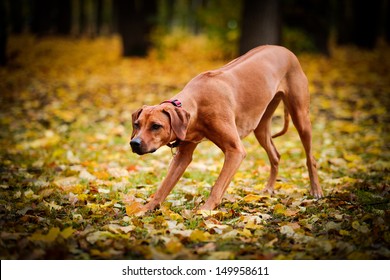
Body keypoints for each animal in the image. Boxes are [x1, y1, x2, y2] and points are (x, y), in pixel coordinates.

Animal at [131, 45, 322, 210]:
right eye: (137, 124)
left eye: (156, 126)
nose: (134, 143)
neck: (197, 104)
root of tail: (285, 49)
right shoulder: (182, 155)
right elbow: (164, 186)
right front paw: (146, 209)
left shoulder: (235, 151)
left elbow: (218, 185)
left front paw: (205, 210)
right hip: (260, 126)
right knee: (275, 155)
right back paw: (268, 189)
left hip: (301, 117)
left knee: (310, 157)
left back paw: (316, 191)